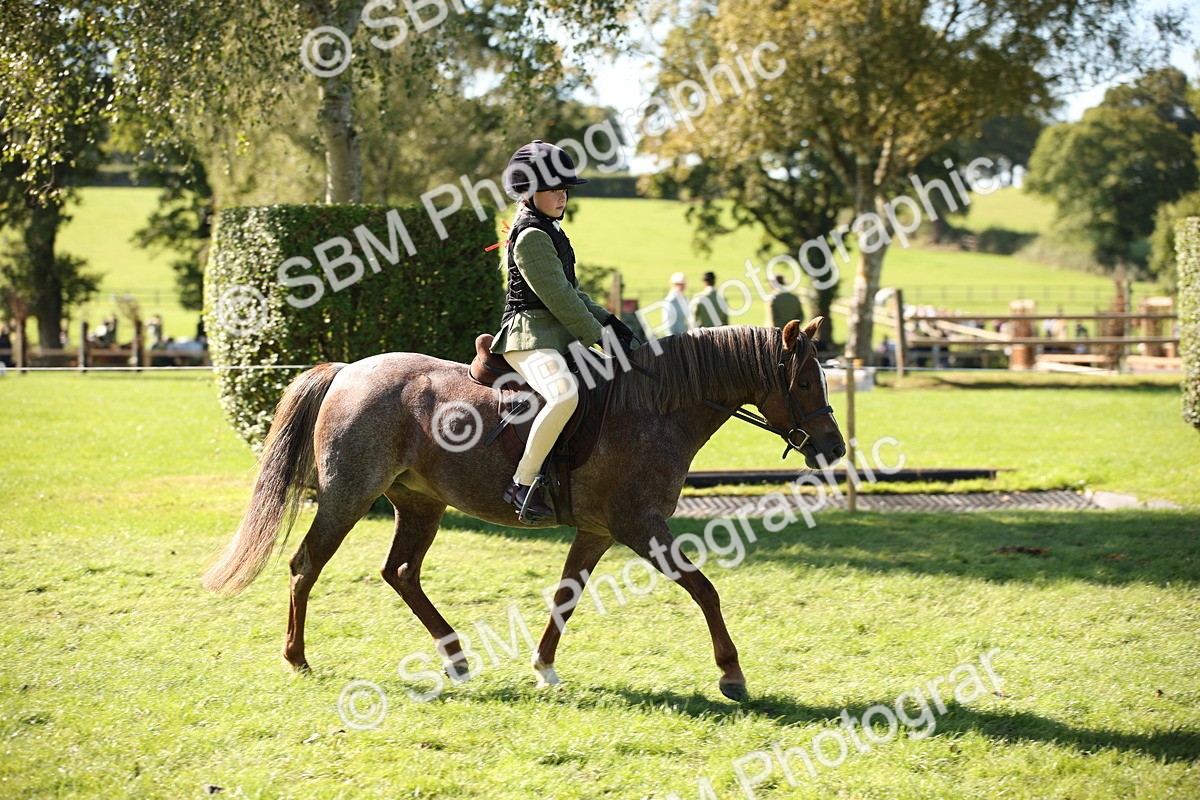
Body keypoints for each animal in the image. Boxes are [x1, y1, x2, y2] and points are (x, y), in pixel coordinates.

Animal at [202, 318, 846, 701]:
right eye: (805, 382)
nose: (835, 448)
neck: (655, 406)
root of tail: (348, 371)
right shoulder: (640, 526)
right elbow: (704, 589)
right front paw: (731, 673)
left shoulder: (598, 531)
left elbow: (566, 596)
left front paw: (544, 667)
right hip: (347, 496)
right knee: (305, 566)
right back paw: (297, 658)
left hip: (421, 503)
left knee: (401, 573)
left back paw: (456, 658)